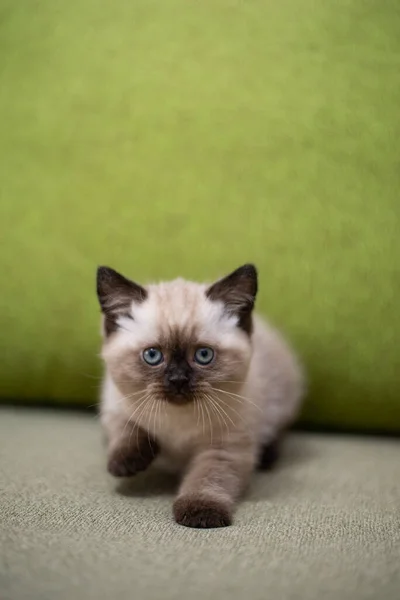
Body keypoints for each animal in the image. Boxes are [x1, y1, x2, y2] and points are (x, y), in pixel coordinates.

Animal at [96, 264, 304, 528]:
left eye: (203, 355)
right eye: (152, 355)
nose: (178, 380)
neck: (177, 421)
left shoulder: (222, 448)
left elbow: (206, 479)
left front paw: (201, 513)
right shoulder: (115, 404)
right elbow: (127, 430)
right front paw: (126, 464)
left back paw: (267, 456)